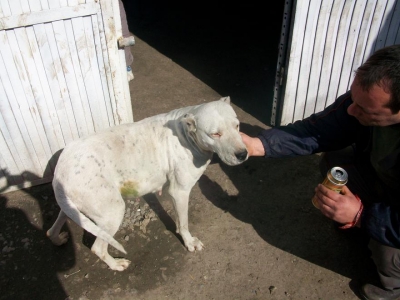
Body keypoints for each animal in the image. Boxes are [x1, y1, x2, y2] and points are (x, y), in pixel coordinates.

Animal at [46, 96, 247, 272]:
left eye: (237, 126)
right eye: (215, 134)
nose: (243, 154)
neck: (186, 134)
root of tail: (59, 171)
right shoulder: (179, 192)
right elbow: (183, 223)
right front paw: (189, 242)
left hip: (73, 205)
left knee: (57, 222)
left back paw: (56, 238)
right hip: (113, 212)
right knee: (98, 248)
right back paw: (115, 264)